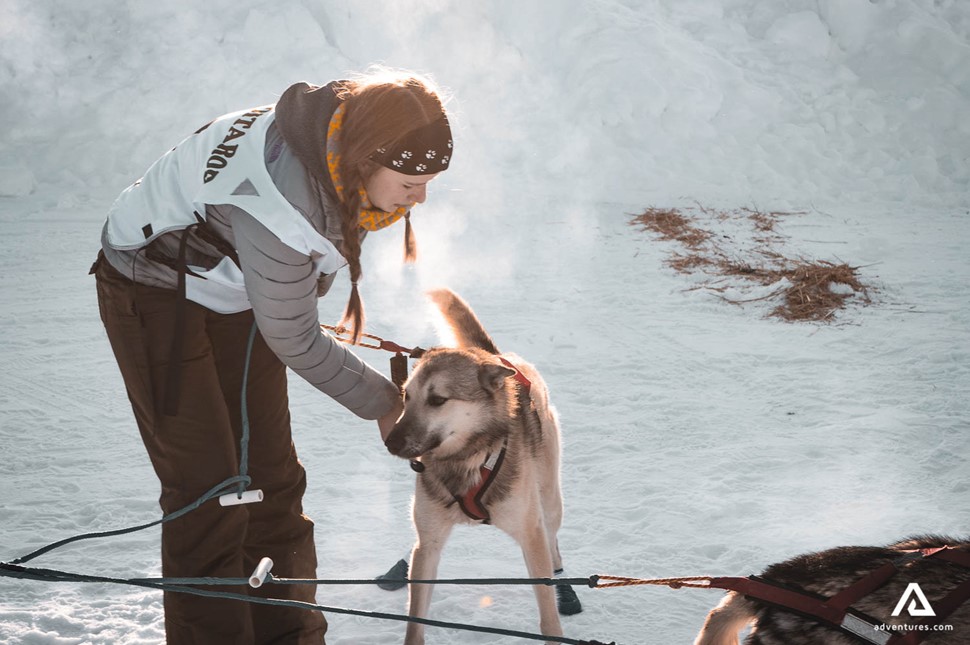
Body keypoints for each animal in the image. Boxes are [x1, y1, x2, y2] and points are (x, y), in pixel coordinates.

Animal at [384, 290, 584, 644]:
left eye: (437, 400)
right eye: (407, 396)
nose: (390, 442)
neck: (468, 460)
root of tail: (496, 357)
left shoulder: (531, 535)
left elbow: (547, 614)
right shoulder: (428, 546)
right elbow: (415, 621)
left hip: (549, 501)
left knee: (554, 543)